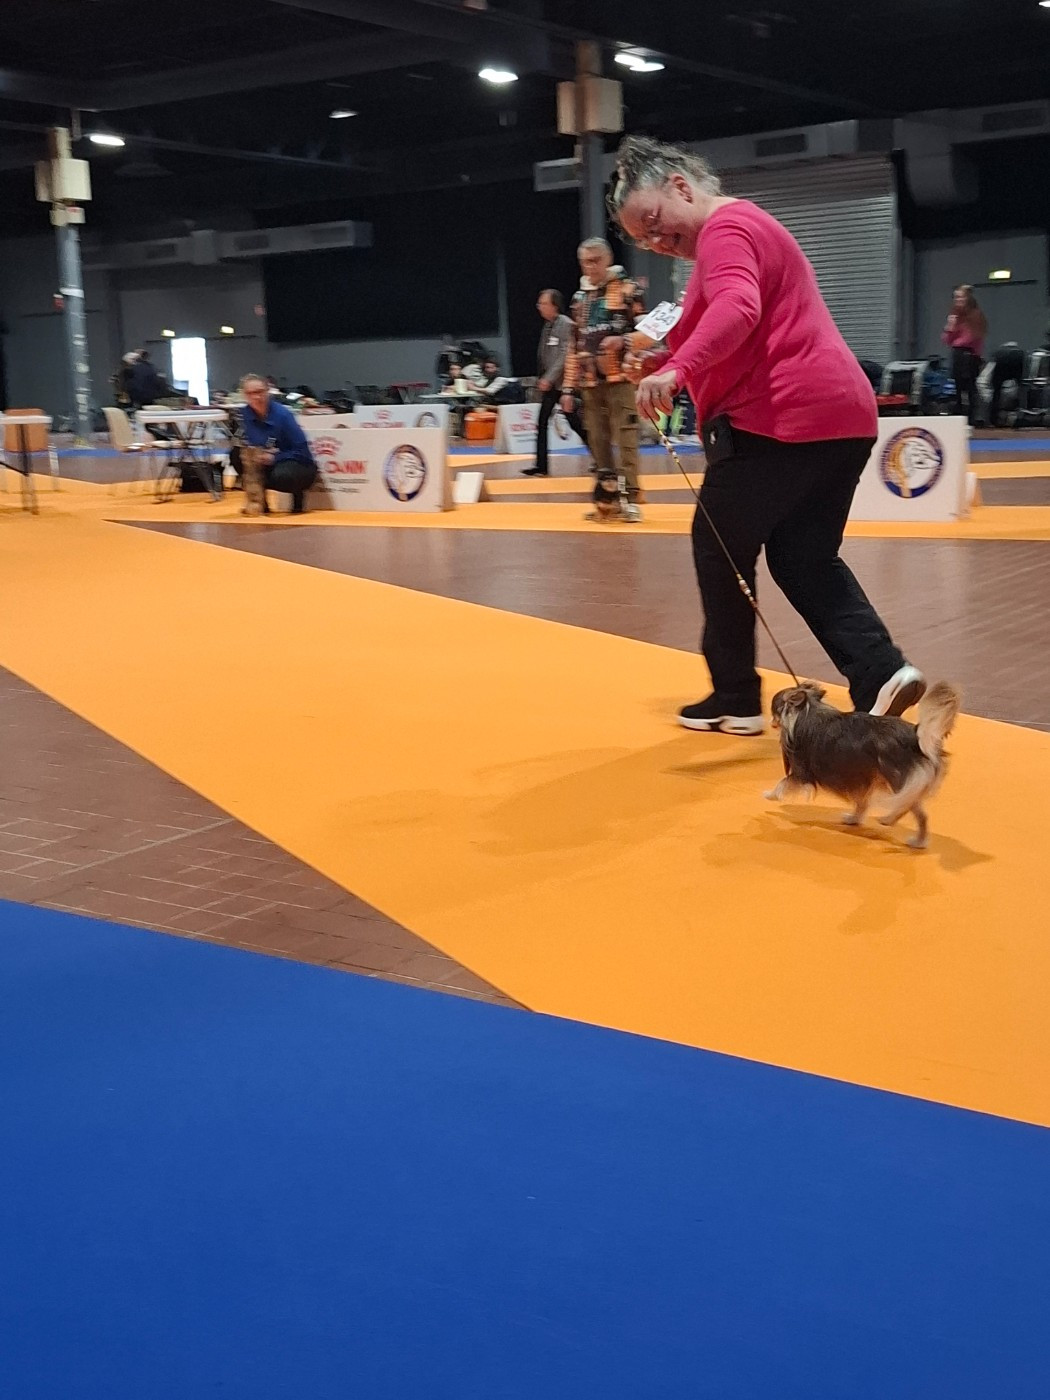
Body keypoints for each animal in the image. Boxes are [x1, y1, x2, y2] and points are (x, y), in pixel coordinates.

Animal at [765, 681, 960, 850]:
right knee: (913, 807)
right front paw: (853, 819)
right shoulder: (862, 778)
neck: (807, 711)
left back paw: (905, 831)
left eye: (774, 711)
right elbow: (862, 803)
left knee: (914, 810)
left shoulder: (801, 772)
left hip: (898, 781)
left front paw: (769, 795)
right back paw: (902, 829)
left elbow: (782, 784)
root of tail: (917, 737)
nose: (770, 722)